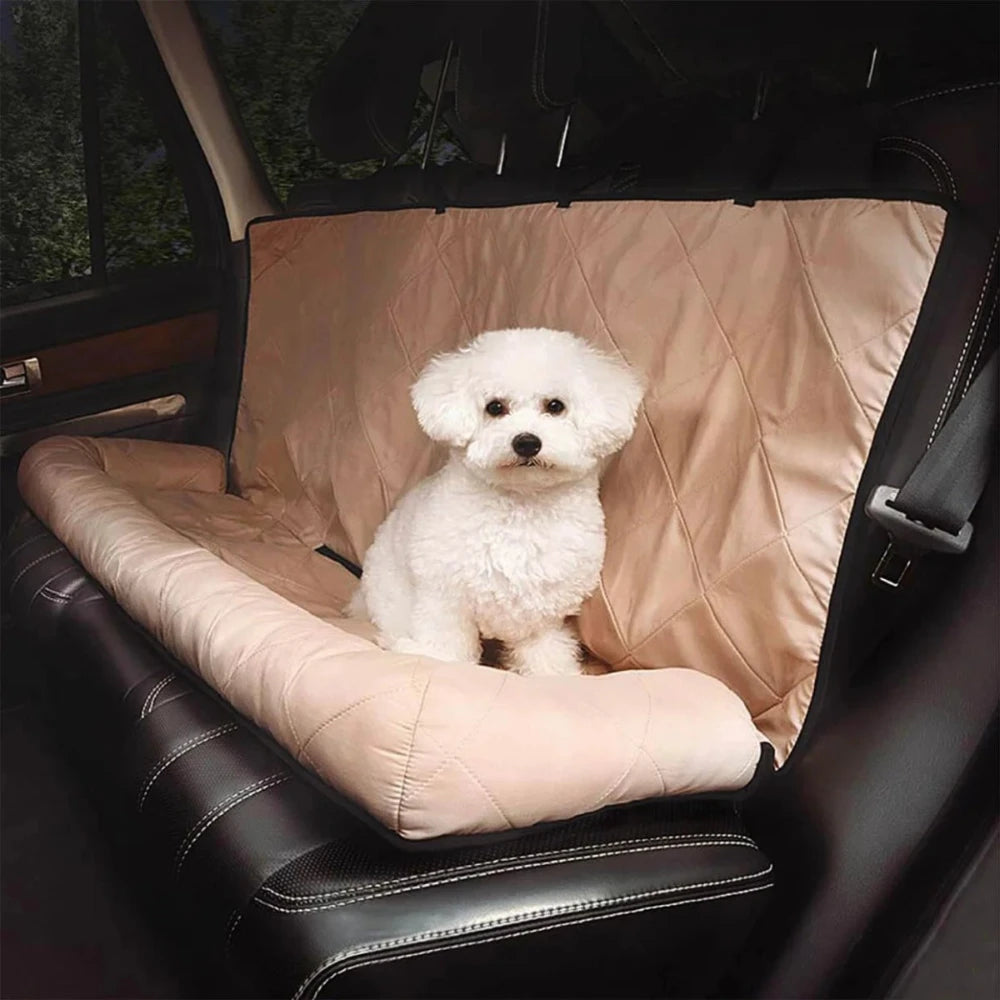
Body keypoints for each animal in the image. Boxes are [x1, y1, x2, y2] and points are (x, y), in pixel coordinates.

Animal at [348, 328, 644, 680]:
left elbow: (546, 651)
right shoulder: (444, 597)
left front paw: (554, 674)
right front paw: (436, 659)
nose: (527, 442)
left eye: (555, 406)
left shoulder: (542, 611)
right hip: (392, 595)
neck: (520, 507)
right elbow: (445, 643)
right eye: (495, 407)